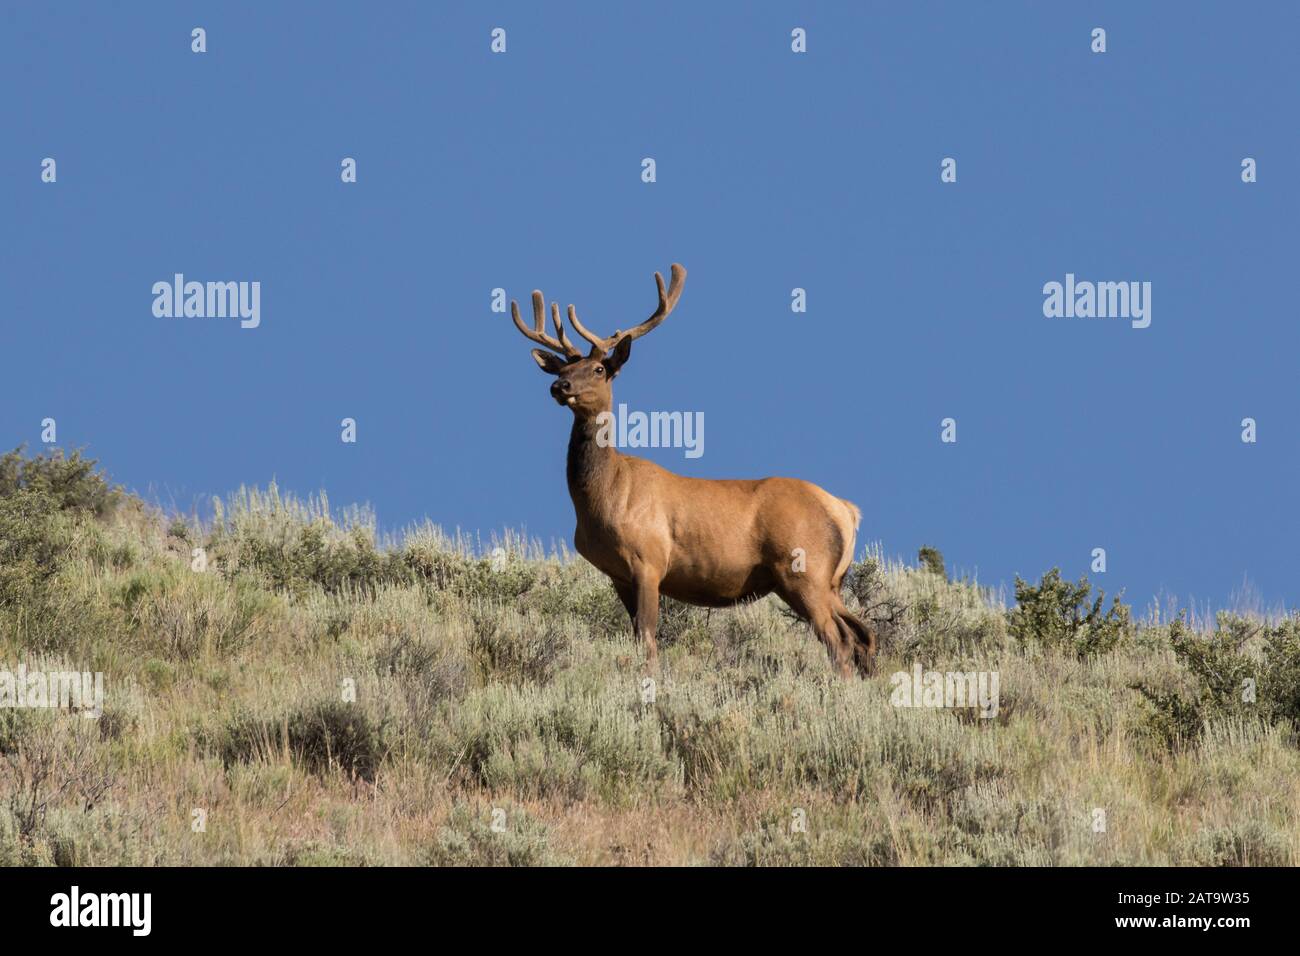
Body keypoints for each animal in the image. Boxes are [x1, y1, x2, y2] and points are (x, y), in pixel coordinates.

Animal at [506, 265, 873, 676]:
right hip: (828, 581)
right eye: (565, 366)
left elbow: (647, 636)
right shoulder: (617, 574)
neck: (603, 500)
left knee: (840, 639)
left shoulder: (648, 558)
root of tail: (846, 511)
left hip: (803, 569)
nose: (559, 385)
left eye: (600, 368)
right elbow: (637, 634)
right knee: (862, 634)